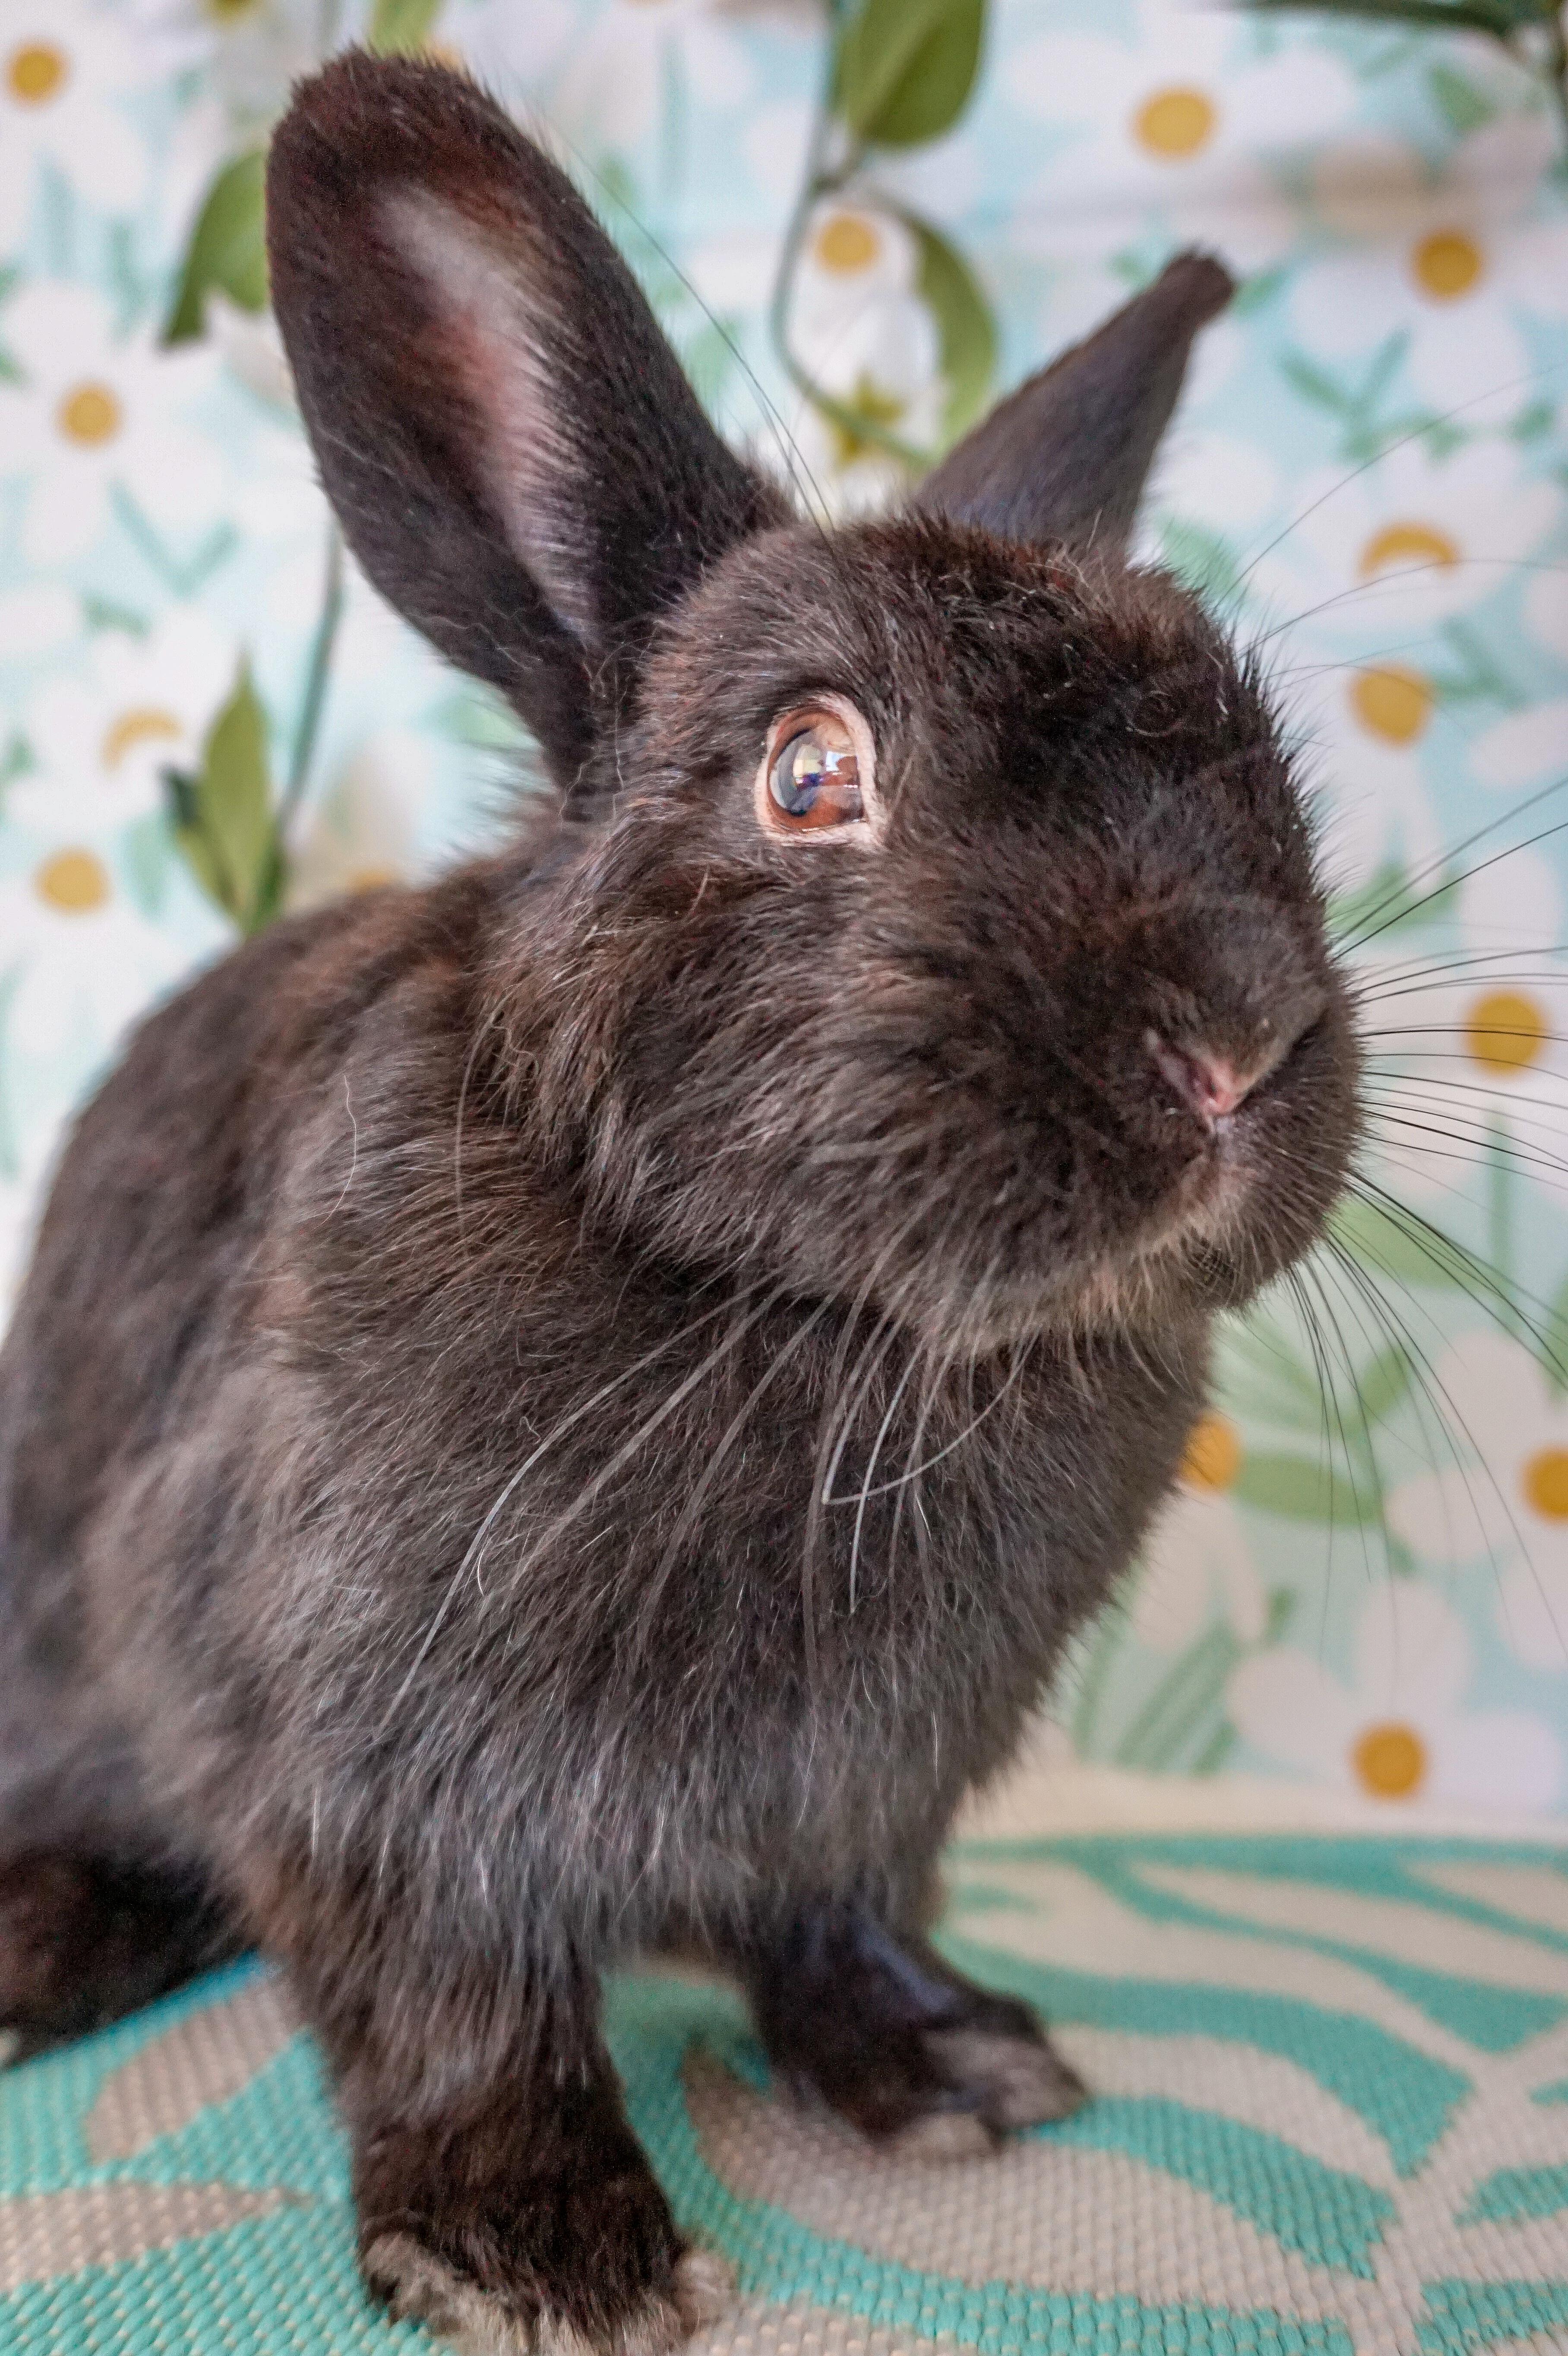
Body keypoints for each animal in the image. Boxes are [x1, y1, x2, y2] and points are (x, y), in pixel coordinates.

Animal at [0, 48, 1361, 2356]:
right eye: (809, 771)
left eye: (1253, 747)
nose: (1234, 1043)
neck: (812, 1315)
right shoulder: (358, 1755)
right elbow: (453, 1998)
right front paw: (543, 2251)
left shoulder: (871, 1794)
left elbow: (837, 1925)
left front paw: (953, 2064)